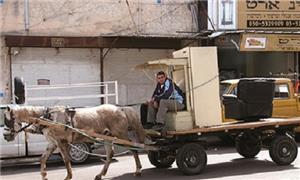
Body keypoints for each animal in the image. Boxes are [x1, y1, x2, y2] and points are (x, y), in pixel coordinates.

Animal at [3, 104, 146, 180]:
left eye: (7, 120)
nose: (5, 136)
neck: (48, 118)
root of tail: (121, 109)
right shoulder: (52, 143)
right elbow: (43, 158)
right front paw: (44, 175)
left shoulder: (61, 142)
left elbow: (66, 159)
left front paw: (68, 176)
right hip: (107, 137)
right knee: (110, 155)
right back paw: (100, 174)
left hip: (120, 135)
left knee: (133, 148)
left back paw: (138, 170)